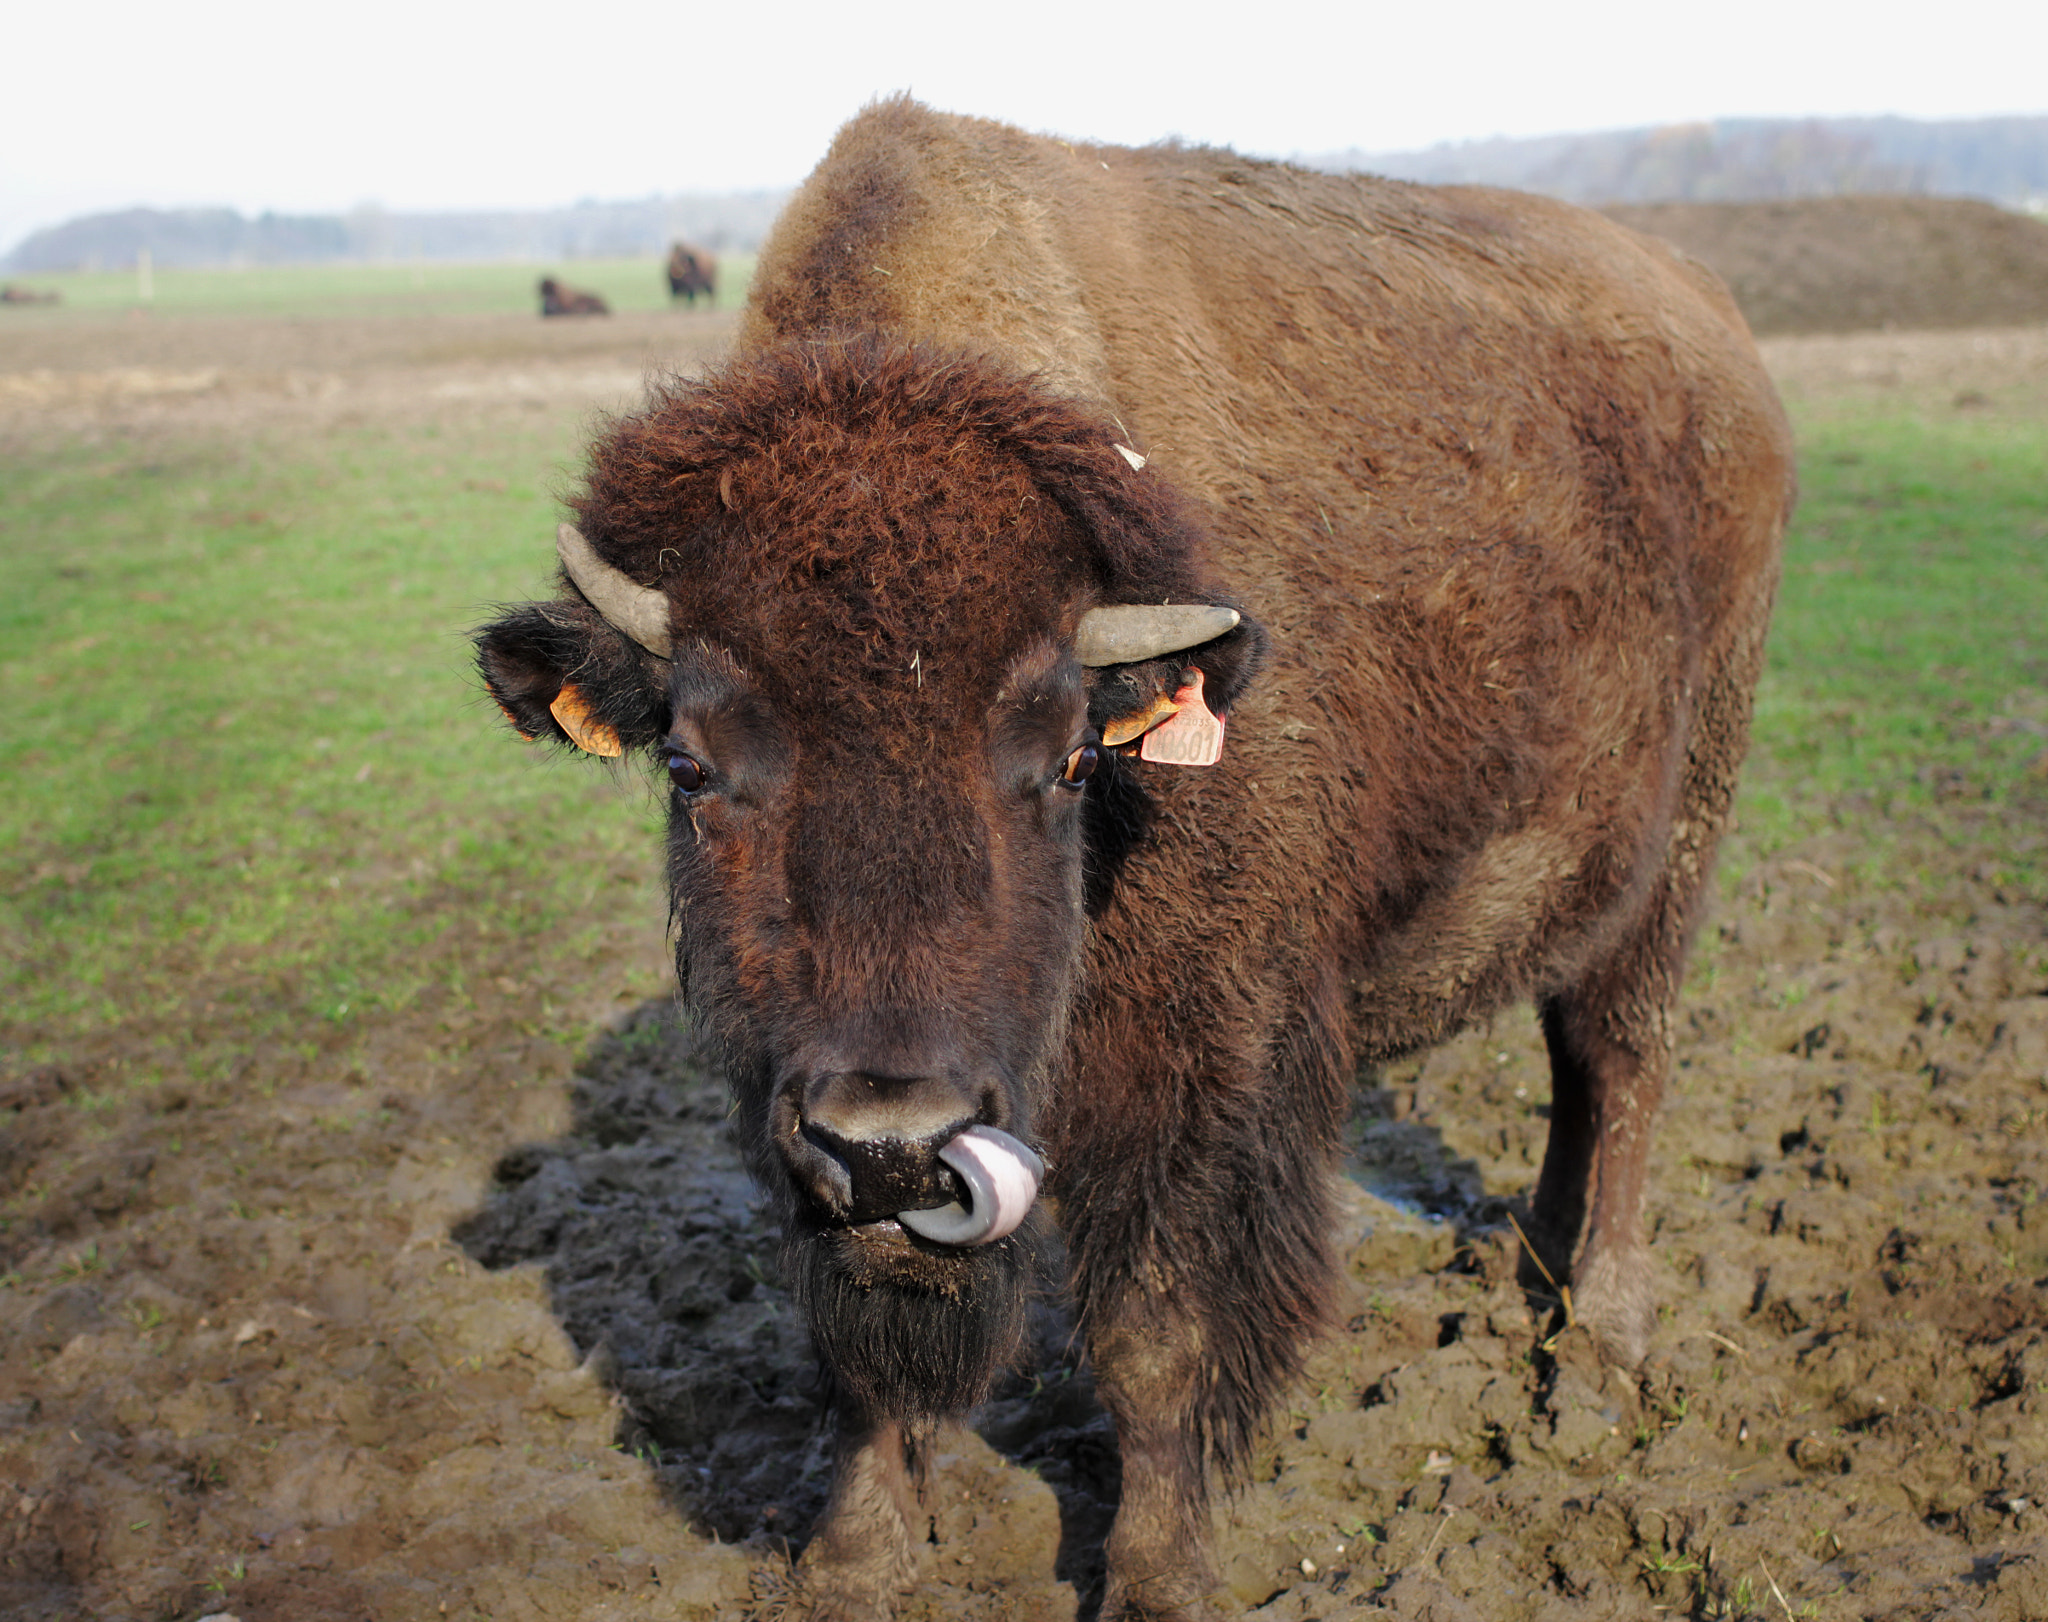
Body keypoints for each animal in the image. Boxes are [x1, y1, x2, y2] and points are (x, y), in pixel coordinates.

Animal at [479, 98, 1794, 1622]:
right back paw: (1536, 1265)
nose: (893, 1147)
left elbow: (1159, 1332)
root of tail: (1718, 333)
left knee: (1622, 1055)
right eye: (689, 766)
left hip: (1687, 830)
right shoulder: (792, 1108)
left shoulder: (1202, 1057)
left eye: (1066, 758)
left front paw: (1157, 1577)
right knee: (1580, 1064)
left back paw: (1600, 1346)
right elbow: (852, 1343)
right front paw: (854, 1555)